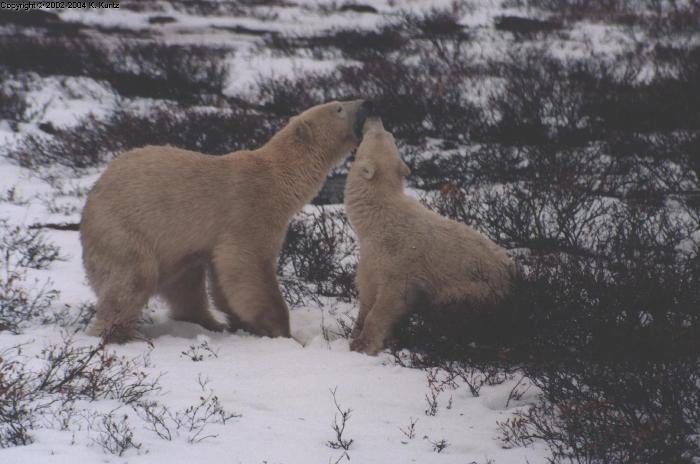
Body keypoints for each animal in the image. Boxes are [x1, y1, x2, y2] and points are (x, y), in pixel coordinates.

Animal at [82, 99, 374, 342]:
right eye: (338, 107)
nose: (365, 103)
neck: (278, 178)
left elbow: (224, 278)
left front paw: (244, 324)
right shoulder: (250, 210)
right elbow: (247, 264)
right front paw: (281, 331)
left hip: (172, 251)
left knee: (186, 284)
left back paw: (209, 323)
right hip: (122, 229)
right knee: (133, 278)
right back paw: (119, 333)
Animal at [344, 117, 516, 356]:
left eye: (381, 134)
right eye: (389, 134)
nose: (374, 117)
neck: (378, 215)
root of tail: (512, 272)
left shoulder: (399, 261)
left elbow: (391, 299)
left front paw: (363, 344)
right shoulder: (370, 257)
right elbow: (367, 292)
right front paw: (354, 334)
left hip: (477, 290)